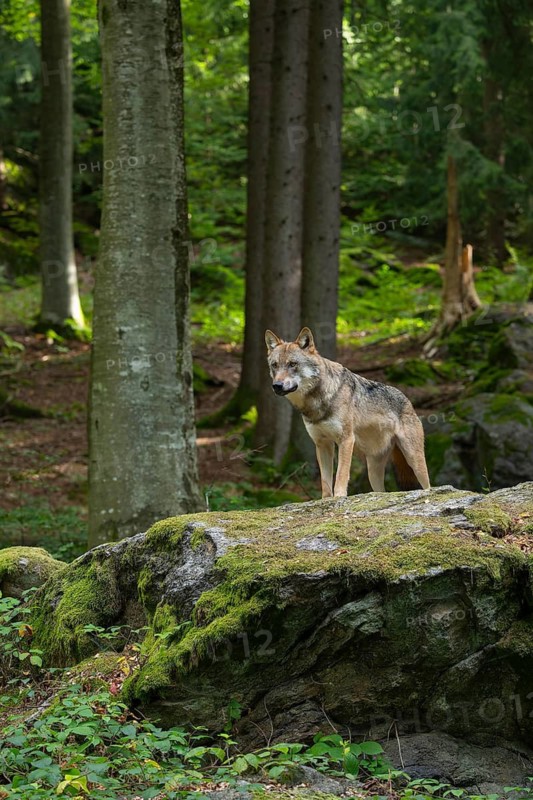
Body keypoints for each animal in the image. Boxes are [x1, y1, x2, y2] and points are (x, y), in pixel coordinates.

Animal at [265, 327, 430, 497]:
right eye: (275, 365)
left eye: (293, 364)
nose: (277, 385)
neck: (318, 402)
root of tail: (407, 399)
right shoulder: (322, 444)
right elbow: (325, 481)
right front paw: (326, 500)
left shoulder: (346, 440)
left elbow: (341, 474)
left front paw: (339, 497)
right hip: (373, 472)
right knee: (381, 491)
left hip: (415, 462)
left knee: (428, 485)